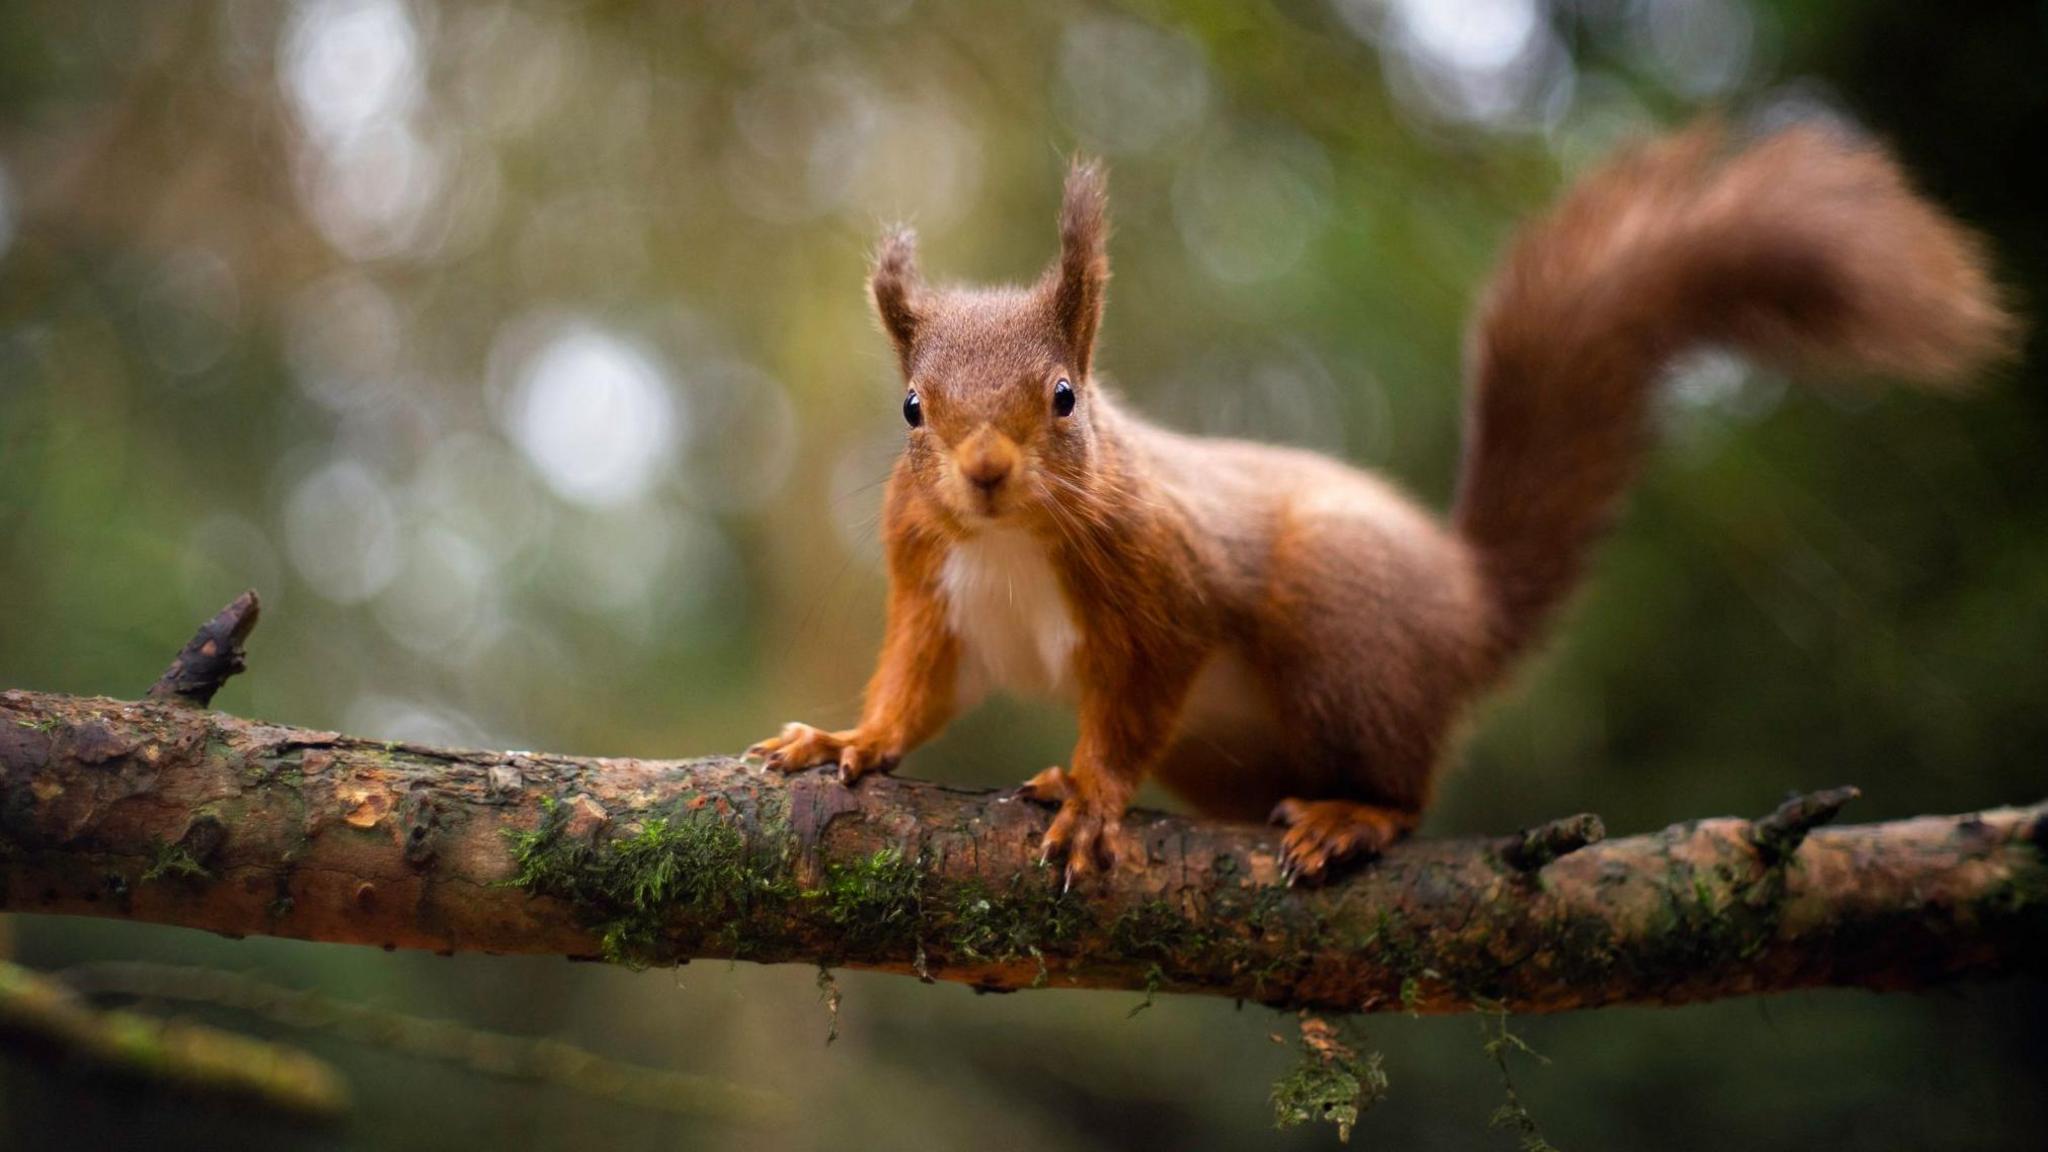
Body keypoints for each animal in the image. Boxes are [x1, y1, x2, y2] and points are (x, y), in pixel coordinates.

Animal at [748, 121, 2013, 886]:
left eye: (1064, 396)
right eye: (911, 409)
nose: (983, 473)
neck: (1010, 539)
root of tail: (1468, 606)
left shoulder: (1166, 587)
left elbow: (1135, 697)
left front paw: (1095, 793)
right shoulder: (934, 587)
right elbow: (918, 688)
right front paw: (845, 738)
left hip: (1340, 629)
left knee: (1405, 789)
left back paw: (1352, 819)